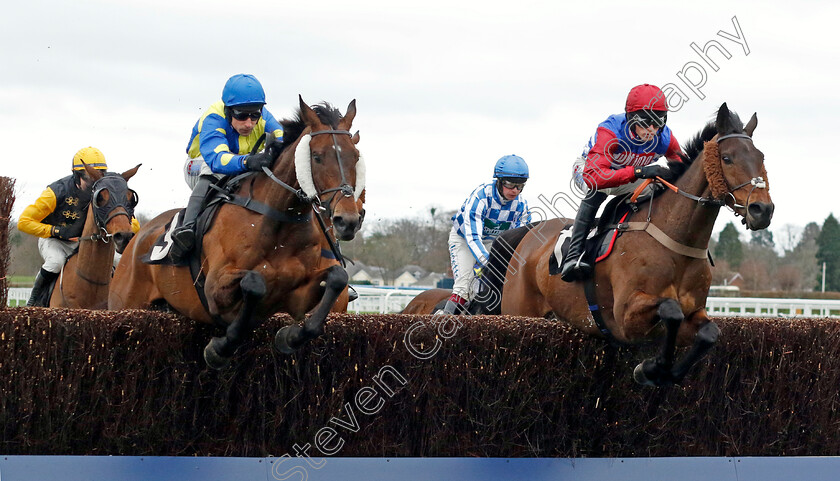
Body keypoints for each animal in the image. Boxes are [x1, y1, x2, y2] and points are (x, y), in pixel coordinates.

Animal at [109, 96, 364, 368]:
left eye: (356, 156)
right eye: (316, 156)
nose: (347, 220)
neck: (277, 220)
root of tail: (136, 239)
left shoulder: (298, 295)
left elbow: (337, 278)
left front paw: (289, 337)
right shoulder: (214, 287)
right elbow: (255, 283)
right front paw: (220, 348)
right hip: (123, 303)